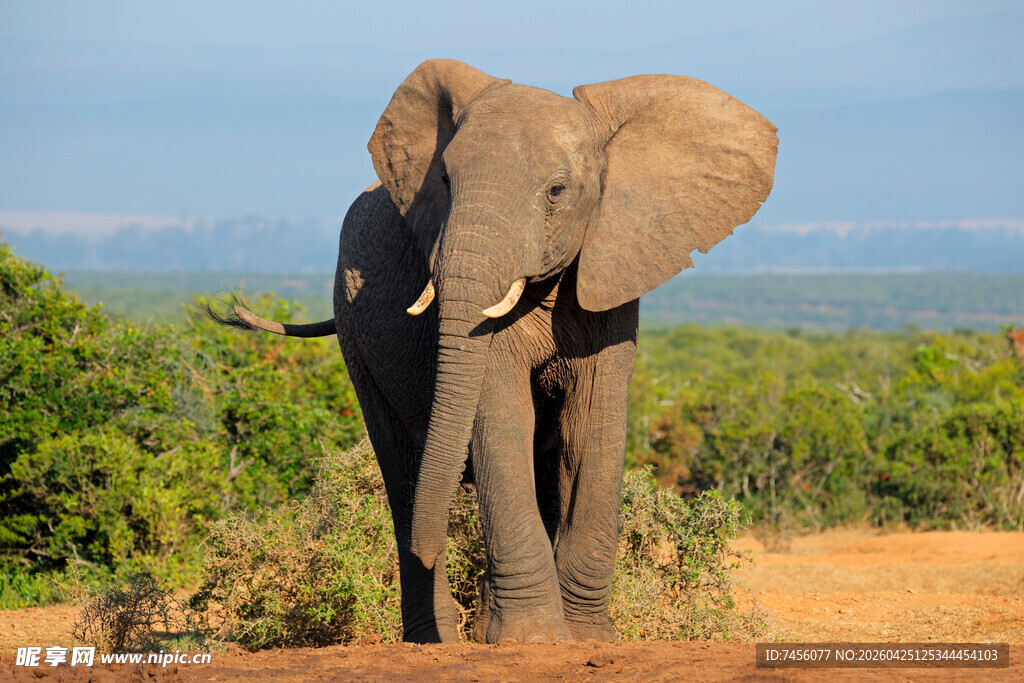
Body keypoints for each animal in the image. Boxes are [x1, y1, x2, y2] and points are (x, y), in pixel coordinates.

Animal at [211, 59, 777, 644]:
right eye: (444, 181)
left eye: (556, 191)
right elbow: (501, 416)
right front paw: (533, 640)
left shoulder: (612, 270)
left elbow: (591, 426)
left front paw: (585, 639)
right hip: (352, 328)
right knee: (402, 469)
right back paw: (434, 638)